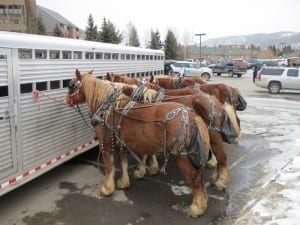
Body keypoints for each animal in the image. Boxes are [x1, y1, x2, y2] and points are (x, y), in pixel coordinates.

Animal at [65, 69, 211, 217]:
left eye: (71, 85)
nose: (66, 100)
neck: (108, 109)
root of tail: (193, 117)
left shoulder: (106, 146)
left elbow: (109, 167)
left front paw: (107, 189)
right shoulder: (121, 144)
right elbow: (123, 163)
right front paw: (124, 182)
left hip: (182, 157)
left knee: (194, 178)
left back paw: (196, 207)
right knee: (200, 177)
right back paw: (204, 202)